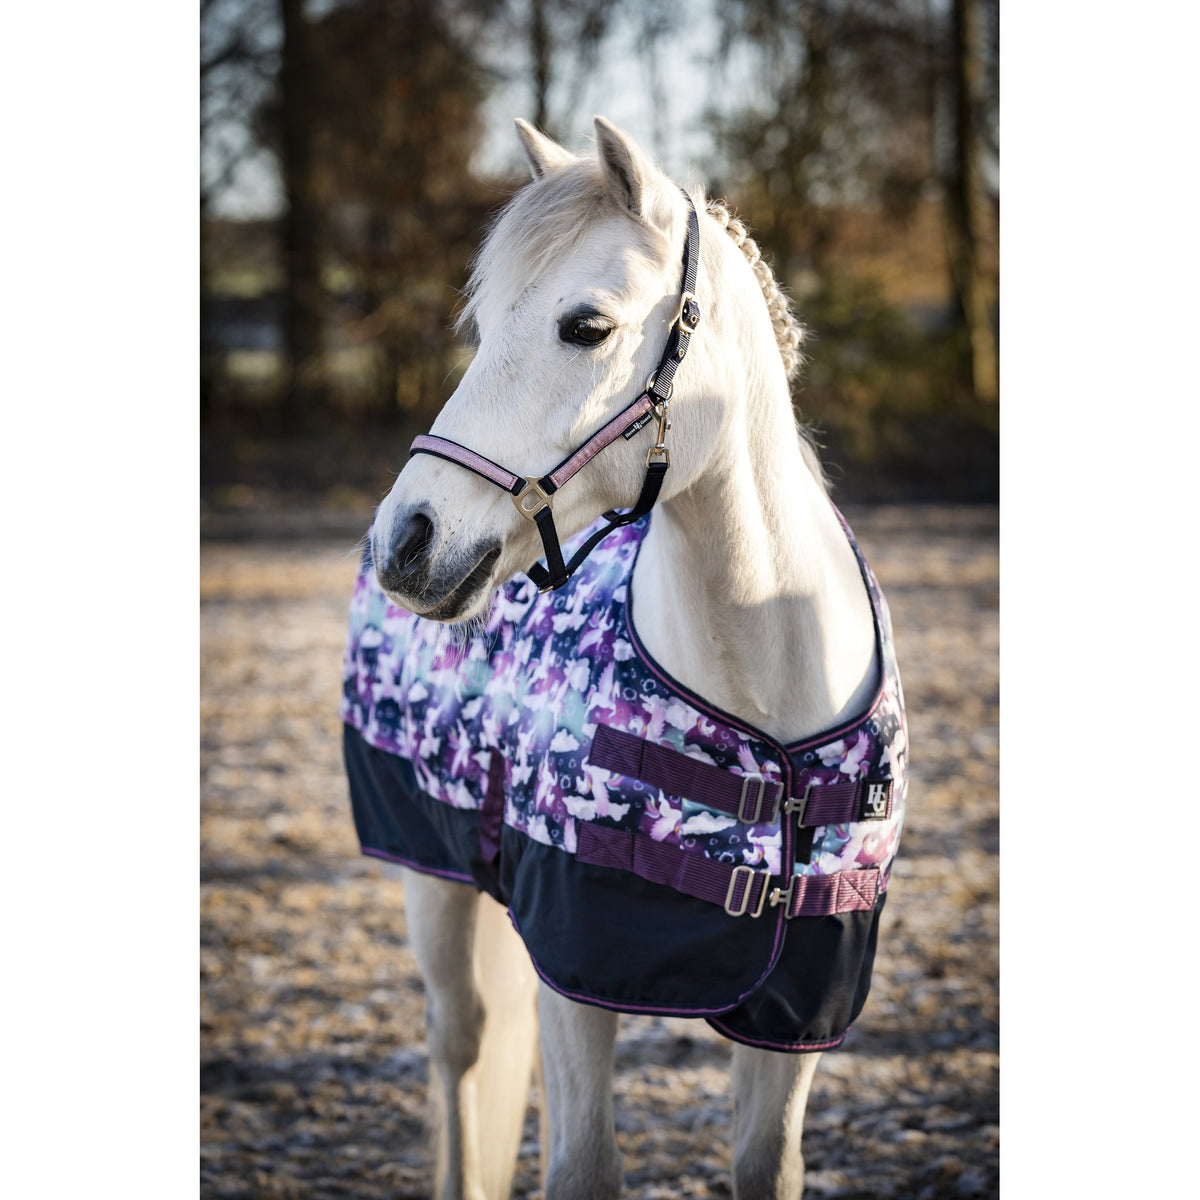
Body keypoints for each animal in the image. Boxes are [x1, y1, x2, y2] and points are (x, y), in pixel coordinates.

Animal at [341, 116, 907, 1200]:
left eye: (586, 327)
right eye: (484, 323)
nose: (407, 540)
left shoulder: (799, 1008)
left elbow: (767, 1164)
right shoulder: (576, 971)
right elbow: (582, 1168)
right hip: (431, 873)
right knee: (458, 1049)